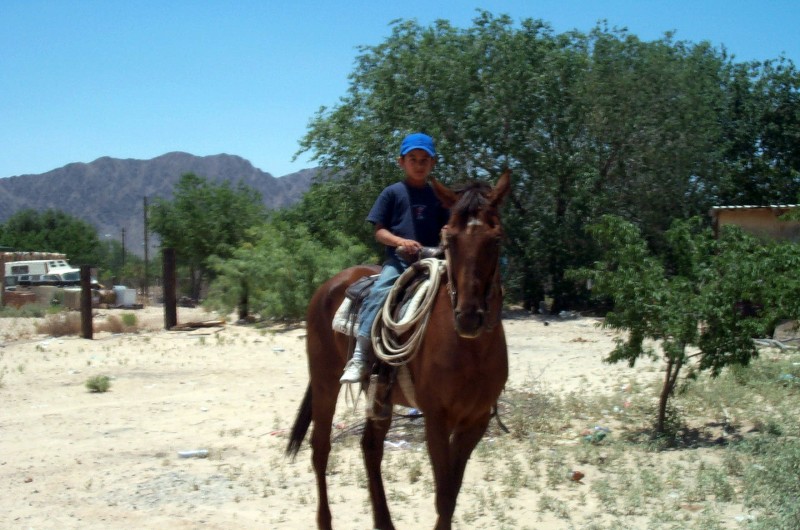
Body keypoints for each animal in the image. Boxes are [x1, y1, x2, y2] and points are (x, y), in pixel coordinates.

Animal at [288, 170, 512, 528]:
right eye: (449, 239)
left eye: (496, 239)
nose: (468, 317)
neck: (470, 351)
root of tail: (329, 284)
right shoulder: (436, 419)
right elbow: (444, 497)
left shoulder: (476, 422)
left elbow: (452, 494)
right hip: (324, 381)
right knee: (320, 447)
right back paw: (325, 521)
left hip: (380, 394)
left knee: (370, 447)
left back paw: (384, 521)